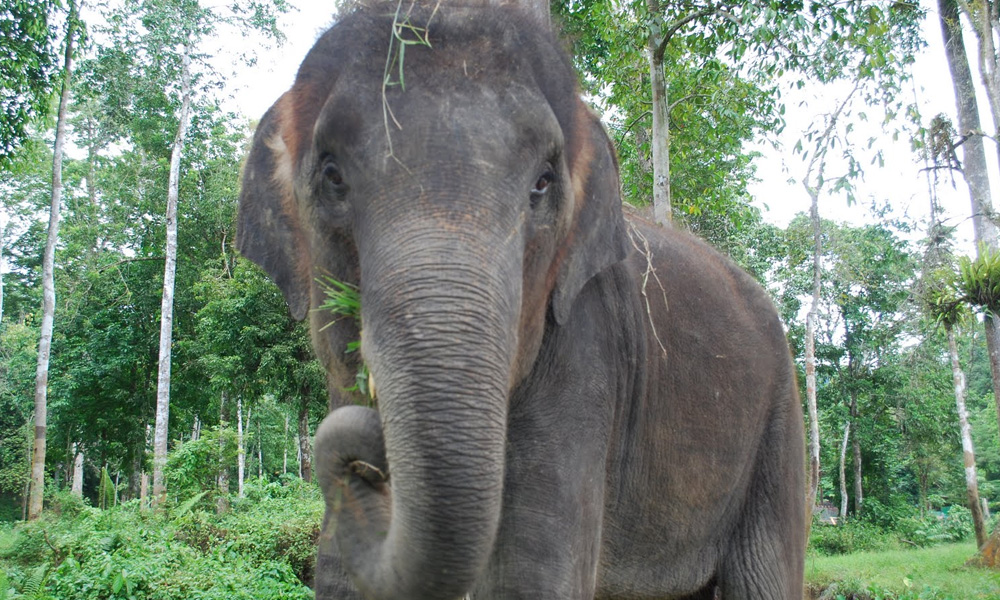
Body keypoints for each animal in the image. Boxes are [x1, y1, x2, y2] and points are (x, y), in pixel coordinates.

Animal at [236, 2, 806, 599]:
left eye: (543, 183)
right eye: (331, 175)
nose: (374, 454)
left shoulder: (585, 348)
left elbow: (532, 577)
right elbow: (340, 575)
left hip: (779, 424)